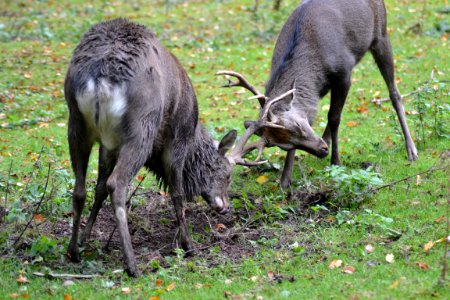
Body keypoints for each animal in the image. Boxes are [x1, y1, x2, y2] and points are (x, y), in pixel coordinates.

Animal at [63, 18, 268, 276]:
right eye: (228, 175)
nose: (225, 207)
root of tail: (101, 80)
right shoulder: (176, 141)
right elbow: (177, 193)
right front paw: (188, 245)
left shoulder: (108, 145)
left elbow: (98, 188)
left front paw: (85, 238)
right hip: (141, 128)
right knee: (117, 184)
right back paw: (132, 265)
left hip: (76, 123)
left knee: (80, 189)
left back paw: (73, 251)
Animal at [218, 0, 418, 188]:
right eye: (286, 144)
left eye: (298, 125)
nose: (322, 150)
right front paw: (285, 180)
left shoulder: (344, 72)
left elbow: (334, 117)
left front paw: (336, 162)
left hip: (381, 34)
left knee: (394, 93)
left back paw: (411, 150)